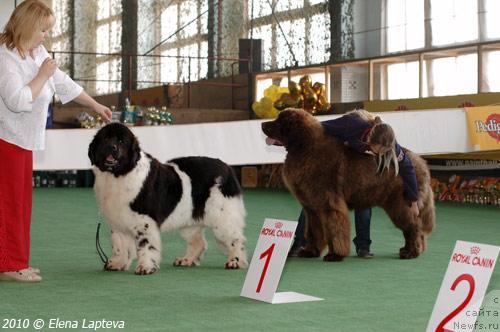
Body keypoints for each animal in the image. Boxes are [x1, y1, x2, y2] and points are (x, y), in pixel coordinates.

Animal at [89, 123, 248, 274]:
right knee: (199, 242)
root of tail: (227, 167)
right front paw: (117, 263)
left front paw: (145, 267)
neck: (118, 175)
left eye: (121, 141)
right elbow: (119, 245)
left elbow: (145, 245)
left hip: (222, 217)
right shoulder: (118, 221)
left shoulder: (144, 221)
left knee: (235, 239)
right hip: (189, 221)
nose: (112, 147)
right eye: (105, 139)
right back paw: (185, 260)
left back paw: (235, 261)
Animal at [262, 110, 434, 260]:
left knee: (413, 226)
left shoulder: (329, 204)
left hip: (400, 204)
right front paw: (311, 251)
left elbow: (334, 228)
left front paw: (335, 255)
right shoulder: (311, 208)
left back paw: (411, 252)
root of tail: (420, 162)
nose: (263, 124)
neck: (305, 148)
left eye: (280, 121)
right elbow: (313, 231)